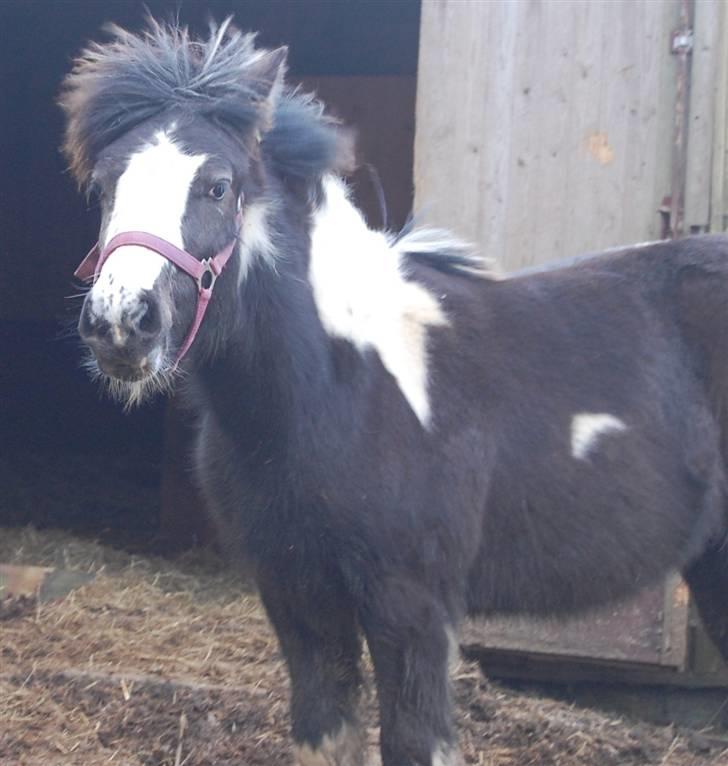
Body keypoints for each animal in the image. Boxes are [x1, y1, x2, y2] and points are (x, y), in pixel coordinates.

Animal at [61, 18, 728, 766]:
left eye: (217, 185)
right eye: (106, 185)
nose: (121, 320)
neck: (338, 388)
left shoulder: (411, 606)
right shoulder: (297, 596)